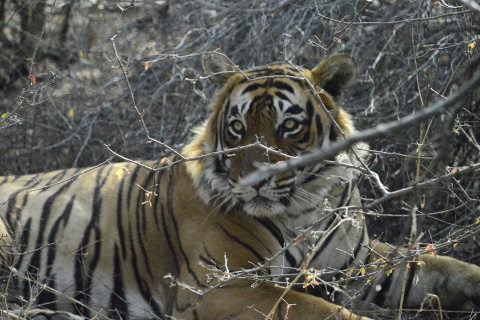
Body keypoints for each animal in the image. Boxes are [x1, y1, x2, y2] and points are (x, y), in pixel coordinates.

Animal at [0, 53, 480, 320]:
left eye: (289, 127)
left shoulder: (360, 264)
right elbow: (318, 310)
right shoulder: (221, 287)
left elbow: (443, 266)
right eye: (237, 128)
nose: (255, 181)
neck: (306, 206)